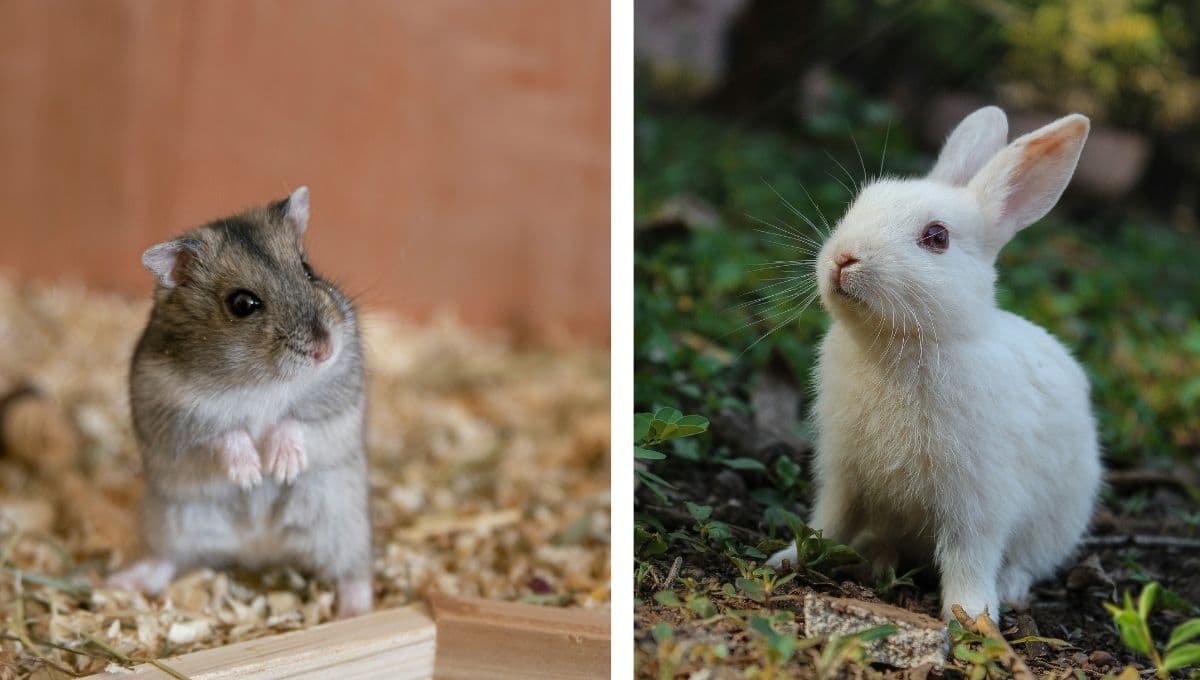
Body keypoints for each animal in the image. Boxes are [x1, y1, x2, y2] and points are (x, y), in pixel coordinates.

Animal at [766, 106, 1103, 622]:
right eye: (860, 204)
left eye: (937, 237)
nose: (843, 258)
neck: (899, 344)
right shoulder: (843, 475)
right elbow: (827, 521)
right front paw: (787, 558)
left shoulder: (978, 501)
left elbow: (969, 557)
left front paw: (973, 618)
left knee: (1026, 561)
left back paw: (1010, 589)